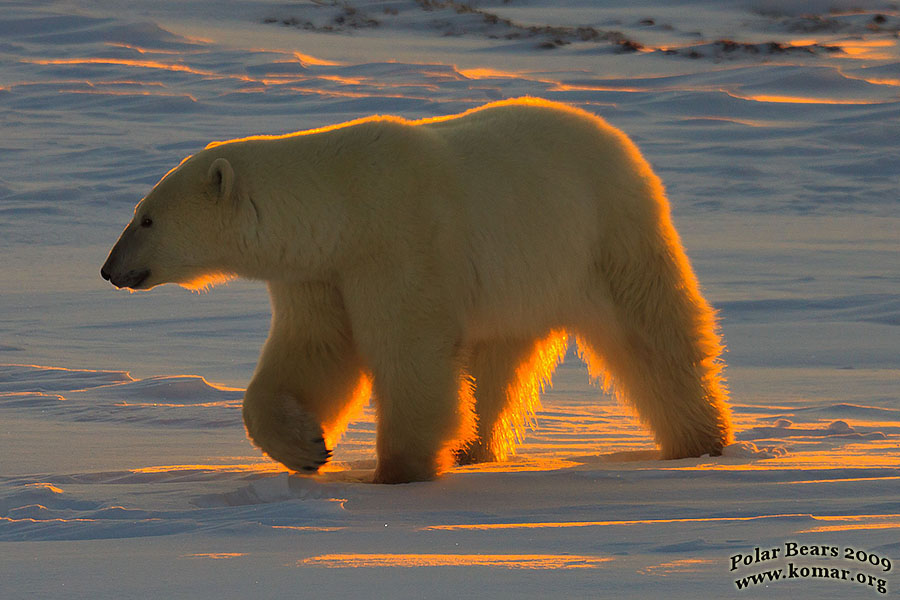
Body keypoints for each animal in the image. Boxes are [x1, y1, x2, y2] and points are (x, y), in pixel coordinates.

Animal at [100, 98, 732, 482]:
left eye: (146, 218)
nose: (109, 269)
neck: (339, 204)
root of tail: (612, 132)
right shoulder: (321, 271)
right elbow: (314, 353)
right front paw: (307, 448)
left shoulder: (398, 240)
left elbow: (409, 351)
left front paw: (397, 470)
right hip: (520, 286)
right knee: (495, 366)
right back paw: (476, 450)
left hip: (604, 231)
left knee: (653, 333)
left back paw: (701, 439)